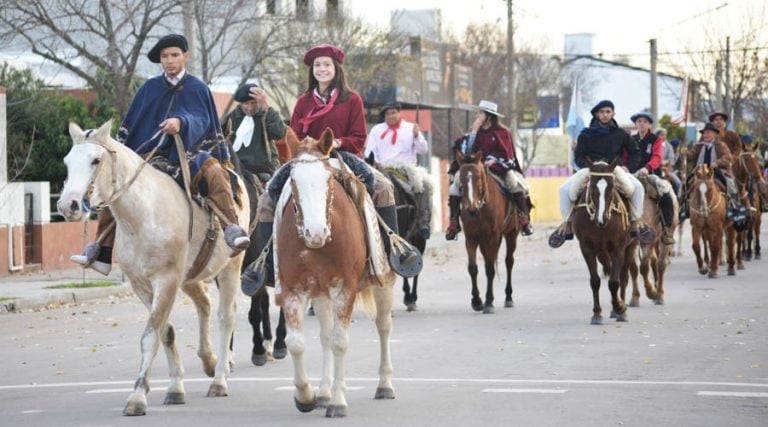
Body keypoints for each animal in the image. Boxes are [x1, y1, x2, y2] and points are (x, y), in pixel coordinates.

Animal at [57, 122, 249, 416]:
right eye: (67, 161)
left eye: (96, 160)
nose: (68, 206)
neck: (142, 216)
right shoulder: (141, 284)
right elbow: (165, 332)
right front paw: (175, 388)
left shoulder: (166, 280)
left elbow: (150, 336)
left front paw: (137, 397)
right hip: (190, 277)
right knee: (204, 304)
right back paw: (208, 360)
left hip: (231, 266)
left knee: (225, 318)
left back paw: (219, 380)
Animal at [274, 130, 396, 418]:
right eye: (293, 181)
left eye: (328, 178)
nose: (315, 232)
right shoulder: (293, 290)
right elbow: (296, 342)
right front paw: (306, 395)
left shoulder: (345, 289)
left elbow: (341, 342)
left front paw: (339, 401)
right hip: (320, 294)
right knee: (325, 336)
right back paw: (323, 392)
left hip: (382, 281)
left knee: (383, 326)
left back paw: (385, 385)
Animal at [456, 150, 520, 314]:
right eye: (461, 178)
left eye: (478, 176)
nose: (471, 208)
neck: (481, 209)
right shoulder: (471, 238)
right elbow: (473, 268)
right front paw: (477, 301)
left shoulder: (493, 236)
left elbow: (490, 269)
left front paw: (489, 302)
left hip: (511, 234)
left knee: (509, 262)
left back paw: (508, 297)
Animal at [568, 160, 636, 324]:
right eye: (592, 186)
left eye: (611, 186)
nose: (602, 219)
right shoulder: (587, 249)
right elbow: (595, 281)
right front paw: (597, 313)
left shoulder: (618, 248)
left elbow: (614, 282)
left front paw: (620, 307)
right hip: (603, 253)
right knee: (610, 270)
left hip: (630, 247)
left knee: (623, 277)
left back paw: (620, 307)